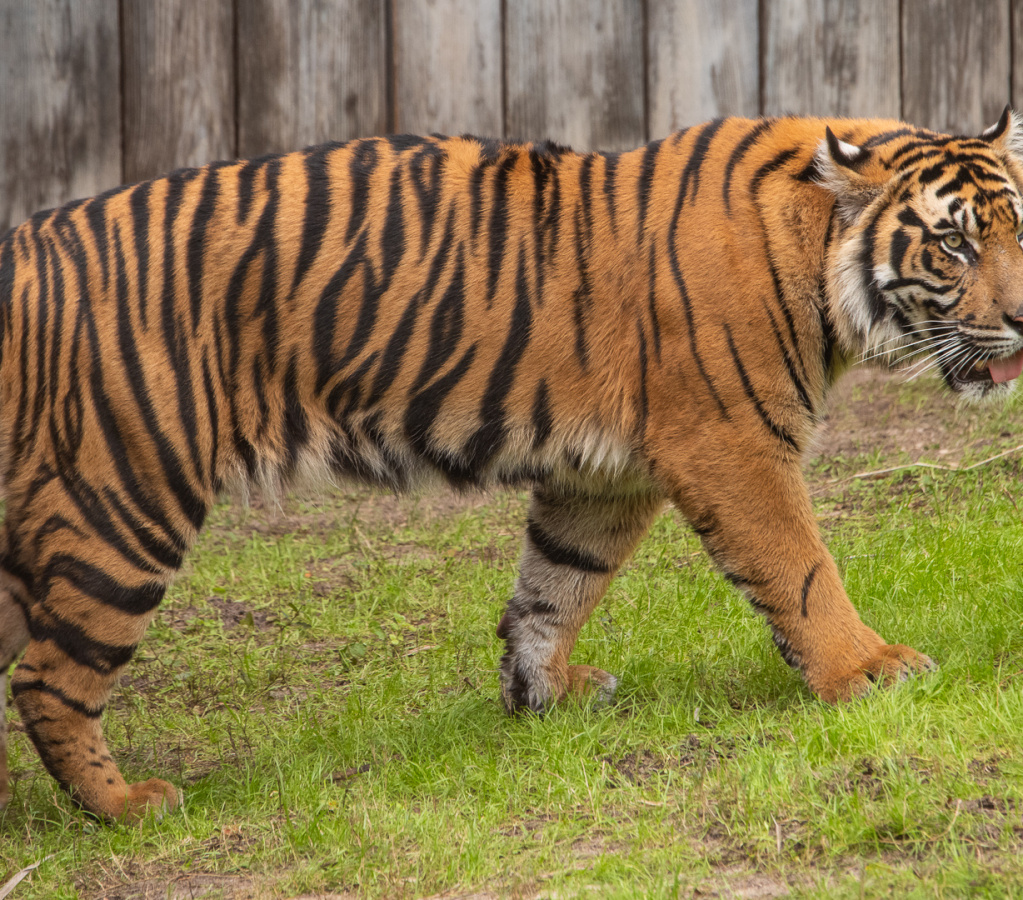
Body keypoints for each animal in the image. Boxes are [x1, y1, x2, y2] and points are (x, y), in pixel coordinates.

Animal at [0, 107, 1022, 822]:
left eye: (1015, 230)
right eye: (953, 242)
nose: (1021, 318)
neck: (817, 255)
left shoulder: (606, 476)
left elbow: (556, 584)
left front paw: (542, 693)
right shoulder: (731, 443)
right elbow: (802, 567)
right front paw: (868, 670)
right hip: (125, 499)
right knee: (49, 678)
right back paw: (127, 808)